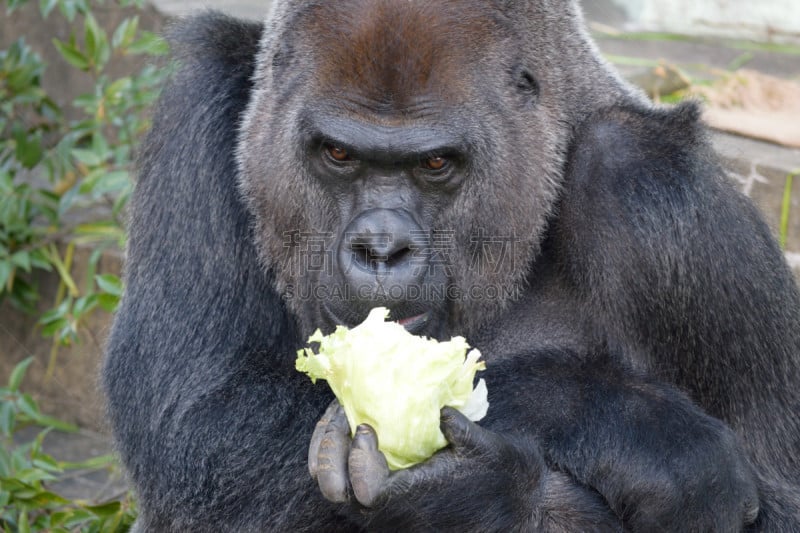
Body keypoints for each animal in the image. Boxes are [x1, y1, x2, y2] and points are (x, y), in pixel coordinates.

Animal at [103, 2, 800, 528]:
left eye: (435, 163)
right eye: (337, 154)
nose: (382, 249)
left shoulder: (655, 187)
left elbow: (782, 499)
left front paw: (475, 489)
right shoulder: (207, 100)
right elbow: (199, 425)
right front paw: (628, 430)